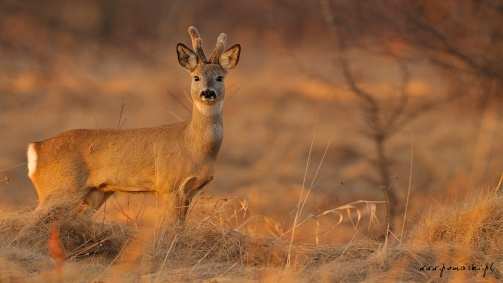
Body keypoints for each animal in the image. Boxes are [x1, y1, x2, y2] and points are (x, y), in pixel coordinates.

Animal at [27, 26, 242, 222]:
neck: (192, 144)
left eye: (220, 77)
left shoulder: (189, 191)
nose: (208, 92)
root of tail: (36, 147)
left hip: (94, 193)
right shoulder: (168, 185)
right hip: (59, 188)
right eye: (196, 77)